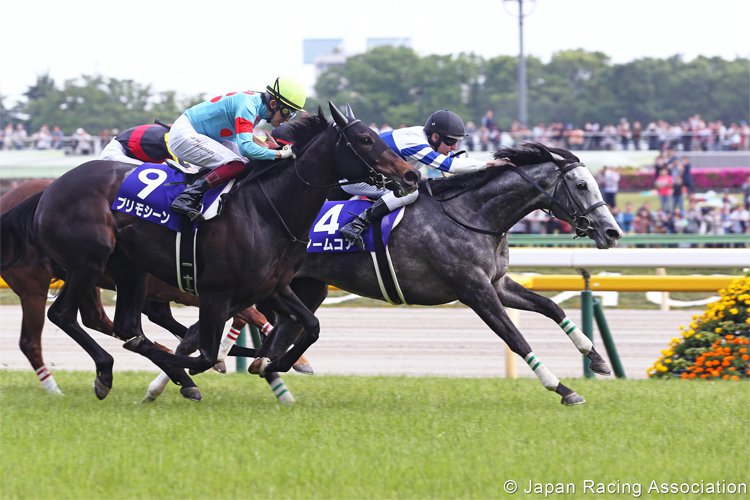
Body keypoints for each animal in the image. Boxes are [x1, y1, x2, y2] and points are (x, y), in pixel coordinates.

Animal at [1, 180, 308, 398]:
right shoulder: (214, 289)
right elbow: (242, 319)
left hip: (88, 274)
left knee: (99, 320)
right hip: (46, 281)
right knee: (39, 335)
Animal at [256, 142, 624, 406]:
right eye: (581, 185)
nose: (612, 232)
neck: (473, 214)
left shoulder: (497, 284)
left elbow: (552, 307)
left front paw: (596, 358)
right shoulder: (474, 290)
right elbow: (515, 338)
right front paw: (561, 387)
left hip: (306, 288)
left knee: (278, 336)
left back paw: (274, 379)